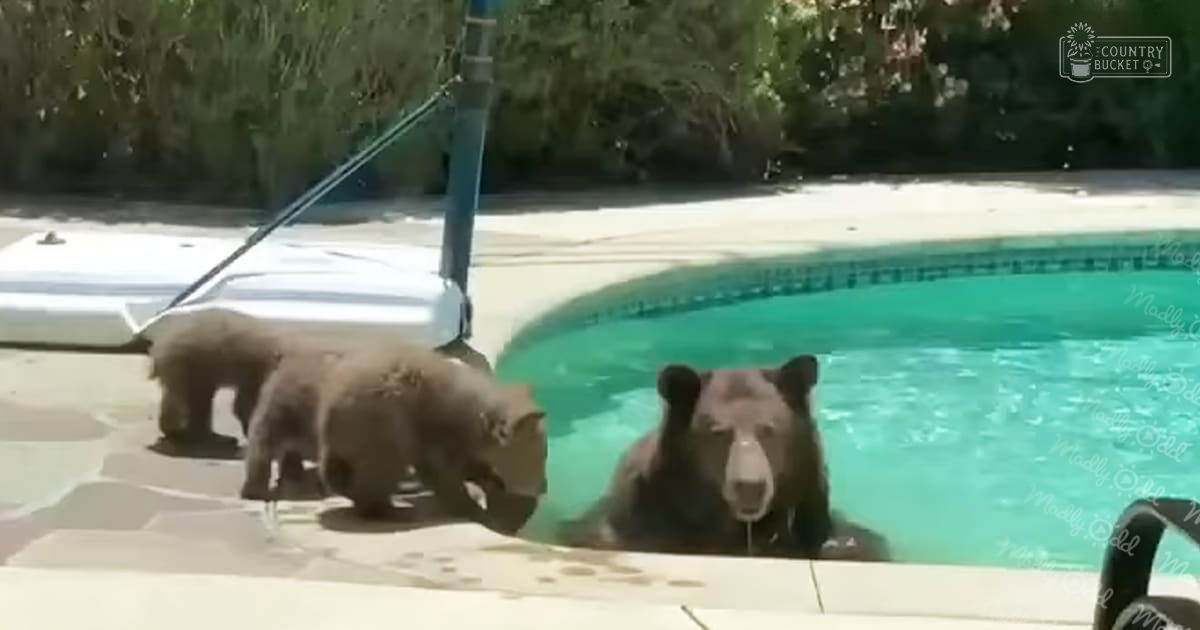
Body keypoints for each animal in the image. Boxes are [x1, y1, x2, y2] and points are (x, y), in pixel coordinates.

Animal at [147, 308, 284, 454]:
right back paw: (181, 434)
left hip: (198, 365)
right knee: (184, 397)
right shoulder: (256, 370)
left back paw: (214, 437)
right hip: (185, 360)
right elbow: (247, 403)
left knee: (200, 397)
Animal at [316, 343, 547, 535]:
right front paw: (479, 511)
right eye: (539, 458)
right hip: (379, 423)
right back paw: (391, 510)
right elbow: (443, 474)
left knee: (339, 470)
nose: (543, 487)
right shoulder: (437, 430)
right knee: (381, 467)